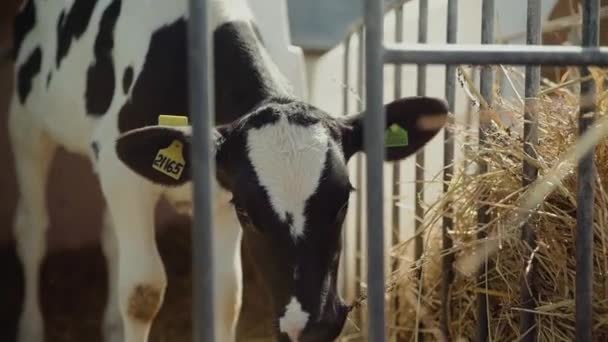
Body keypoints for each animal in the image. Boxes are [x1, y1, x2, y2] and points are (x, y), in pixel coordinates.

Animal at [8, 0, 446, 342]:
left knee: (111, 238)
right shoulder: (125, 175)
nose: (311, 326)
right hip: (28, 125)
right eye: (249, 214)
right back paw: (30, 330)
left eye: (342, 202)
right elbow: (142, 292)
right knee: (32, 230)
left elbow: (225, 295)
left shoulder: (217, 193)